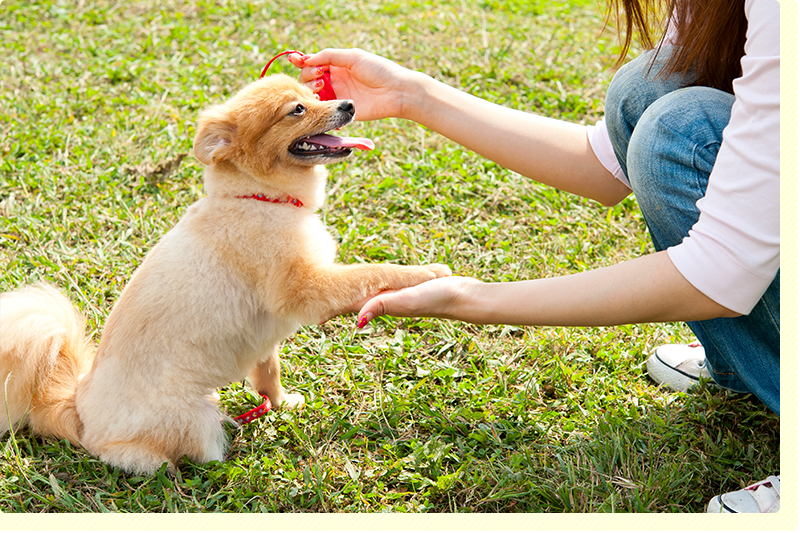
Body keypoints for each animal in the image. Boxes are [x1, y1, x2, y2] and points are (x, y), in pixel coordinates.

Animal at [0, 74, 450, 474]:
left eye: (315, 93)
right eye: (297, 109)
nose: (349, 105)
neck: (259, 197)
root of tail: (77, 407)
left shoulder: (267, 334)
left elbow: (269, 373)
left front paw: (281, 403)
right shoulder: (305, 289)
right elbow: (372, 272)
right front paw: (427, 272)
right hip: (194, 417)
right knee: (158, 451)